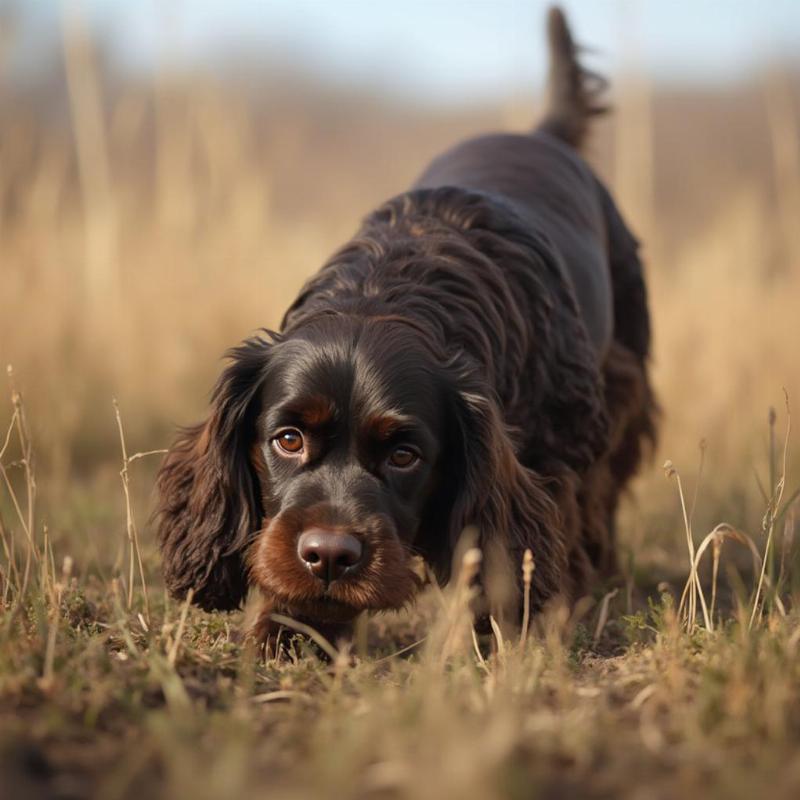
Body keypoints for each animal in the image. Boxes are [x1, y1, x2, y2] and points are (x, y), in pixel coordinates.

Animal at [155, 7, 656, 648]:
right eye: (287, 440)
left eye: (404, 455)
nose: (329, 556)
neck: (387, 293)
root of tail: (541, 135)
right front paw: (292, 625)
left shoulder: (551, 459)